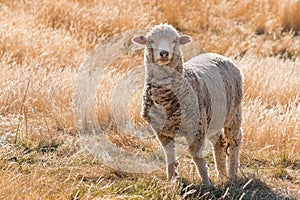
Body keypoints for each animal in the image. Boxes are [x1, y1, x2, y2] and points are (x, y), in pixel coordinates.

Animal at [132, 23, 243, 186]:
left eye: (175, 40)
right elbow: (169, 156)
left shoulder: (196, 129)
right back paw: (222, 175)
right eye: (151, 40)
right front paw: (171, 179)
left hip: (234, 113)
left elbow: (196, 156)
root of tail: (218, 55)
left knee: (235, 141)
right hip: (213, 118)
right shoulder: (161, 130)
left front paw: (207, 183)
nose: (164, 53)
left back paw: (232, 174)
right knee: (220, 142)